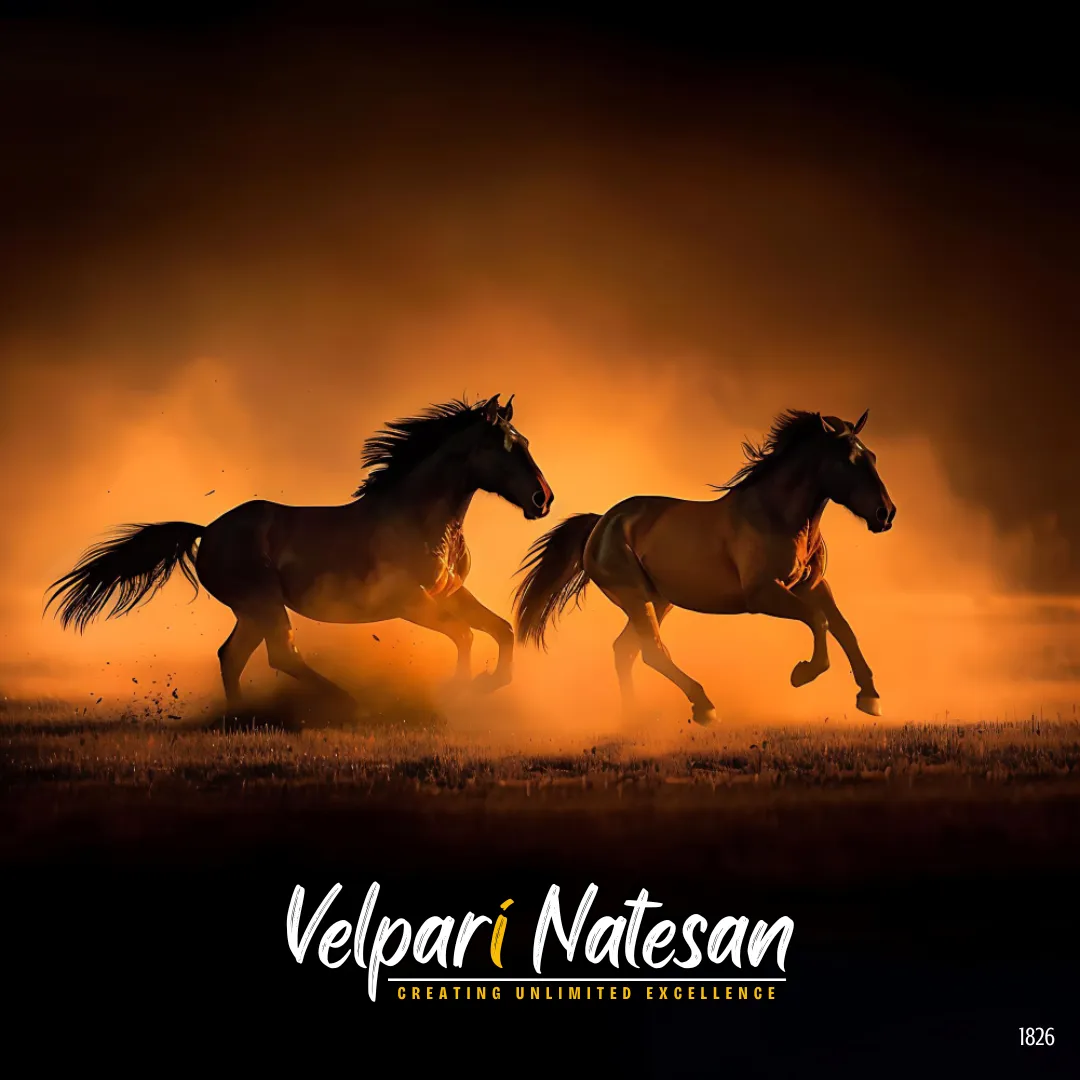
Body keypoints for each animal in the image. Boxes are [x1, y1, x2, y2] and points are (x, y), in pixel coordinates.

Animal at [45, 394, 554, 716]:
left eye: (526, 442)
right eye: (505, 446)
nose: (542, 498)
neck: (420, 519)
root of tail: (207, 531)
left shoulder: (450, 593)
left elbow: (500, 630)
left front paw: (488, 683)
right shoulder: (410, 603)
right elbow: (465, 636)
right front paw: (461, 689)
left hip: (253, 611)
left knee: (233, 656)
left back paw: (242, 716)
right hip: (265, 604)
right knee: (281, 655)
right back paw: (348, 703)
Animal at [511, 409, 894, 725]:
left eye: (873, 457)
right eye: (849, 461)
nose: (885, 513)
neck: (779, 517)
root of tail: (601, 522)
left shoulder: (812, 585)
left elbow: (844, 629)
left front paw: (870, 697)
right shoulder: (764, 594)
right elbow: (820, 620)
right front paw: (803, 673)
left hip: (658, 600)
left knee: (627, 651)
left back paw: (634, 717)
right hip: (637, 597)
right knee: (651, 651)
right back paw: (704, 706)